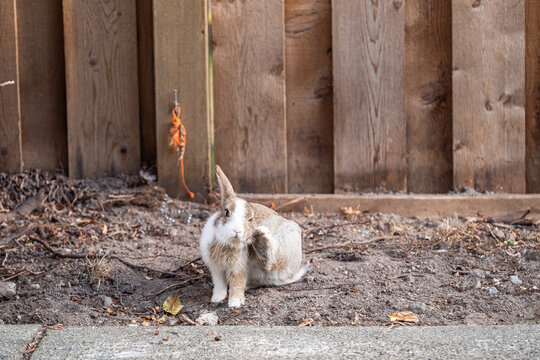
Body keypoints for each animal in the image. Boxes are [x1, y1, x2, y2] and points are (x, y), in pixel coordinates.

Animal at [200, 165, 306, 306]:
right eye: (227, 212)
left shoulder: (239, 267)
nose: (237, 231)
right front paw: (217, 298)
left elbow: (237, 283)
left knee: (269, 264)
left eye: (250, 219)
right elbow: (219, 284)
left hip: (286, 245)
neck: (228, 242)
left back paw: (262, 238)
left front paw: (235, 303)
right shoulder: (216, 269)